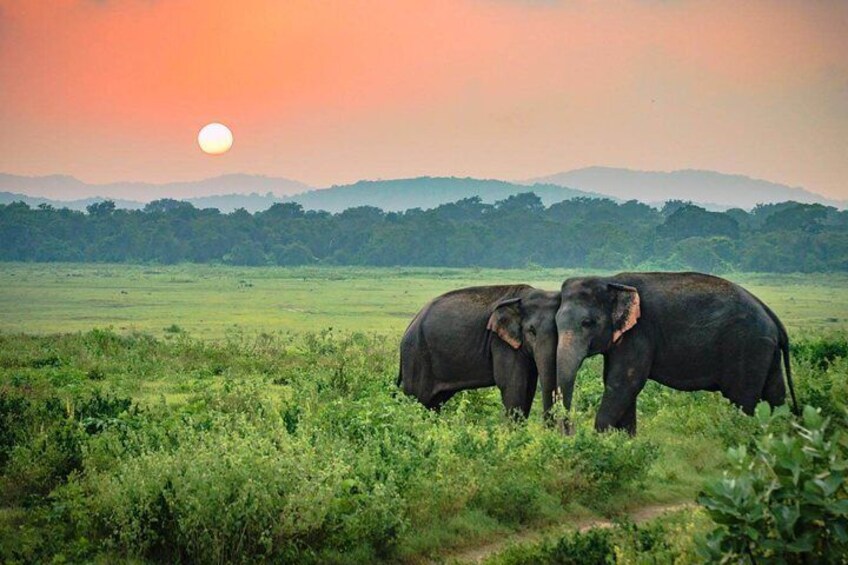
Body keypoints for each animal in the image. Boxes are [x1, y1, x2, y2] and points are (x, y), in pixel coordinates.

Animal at [400, 284, 564, 416]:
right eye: (531, 331)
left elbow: (529, 387)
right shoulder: (500, 342)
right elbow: (513, 386)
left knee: (433, 403)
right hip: (416, 356)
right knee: (417, 398)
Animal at [552, 270, 800, 434]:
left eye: (587, 323)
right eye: (556, 322)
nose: (569, 431)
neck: (611, 281)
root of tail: (771, 316)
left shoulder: (639, 333)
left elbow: (623, 383)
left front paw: (601, 440)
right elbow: (620, 385)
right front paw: (625, 442)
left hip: (747, 348)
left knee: (742, 399)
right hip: (765, 350)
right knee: (775, 394)